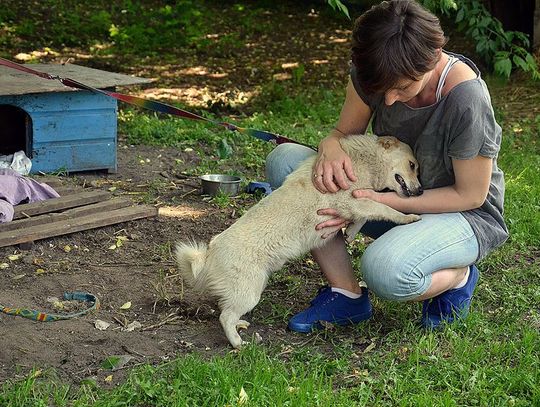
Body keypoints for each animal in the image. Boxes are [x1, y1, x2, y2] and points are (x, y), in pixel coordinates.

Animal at [176, 134, 422, 348]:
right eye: (412, 165)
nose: (420, 192)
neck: (365, 159)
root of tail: (208, 255)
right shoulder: (355, 202)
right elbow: (385, 208)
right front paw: (408, 217)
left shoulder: (357, 203)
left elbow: (366, 215)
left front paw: (351, 231)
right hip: (249, 292)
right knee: (225, 316)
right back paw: (238, 343)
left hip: (253, 286)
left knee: (227, 310)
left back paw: (240, 325)